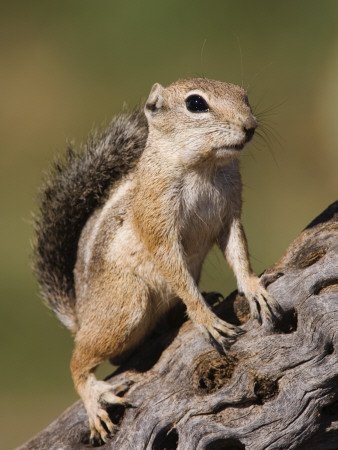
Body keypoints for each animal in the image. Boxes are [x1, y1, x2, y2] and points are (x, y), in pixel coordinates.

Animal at [33, 76, 282, 442]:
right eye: (196, 104)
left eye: (243, 95)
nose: (249, 125)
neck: (203, 167)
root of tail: (81, 313)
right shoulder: (158, 225)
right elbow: (175, 269)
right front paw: (204, 318)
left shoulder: (229, 216)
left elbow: (238, 252)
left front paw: (253, 289)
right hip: (125, 308)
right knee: (78, 361)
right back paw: (94, 400)